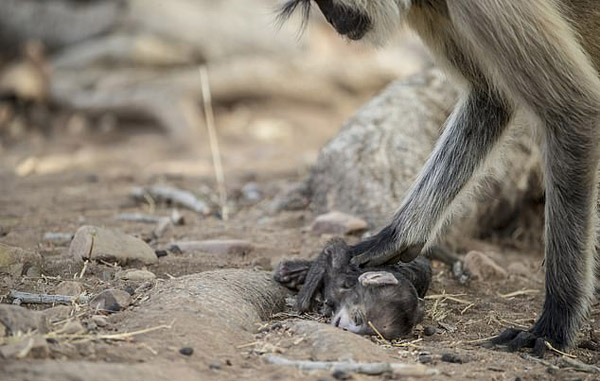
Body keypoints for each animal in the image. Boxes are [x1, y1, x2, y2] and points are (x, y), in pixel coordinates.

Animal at [274, 238, 436, 338]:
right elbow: (335, 248)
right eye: (357, 319)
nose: (345, 329)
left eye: (367, 332)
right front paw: (304, 302)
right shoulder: (341, 278)